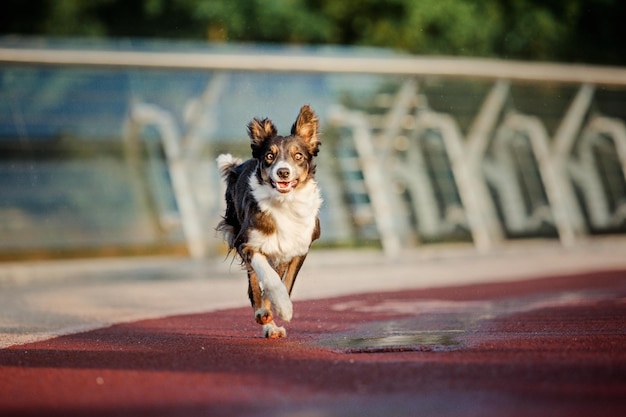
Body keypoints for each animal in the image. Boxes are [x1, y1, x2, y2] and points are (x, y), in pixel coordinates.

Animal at [216, 104, 322, 338]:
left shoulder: (299, 247)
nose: (283, 172)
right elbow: (268, 277)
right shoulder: (246, 242)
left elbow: (287, 281)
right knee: (254, 283)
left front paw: (282, 307)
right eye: (270, 156)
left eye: (298, 156)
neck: (284, 203)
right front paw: (281, 306)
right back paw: (264, 315)